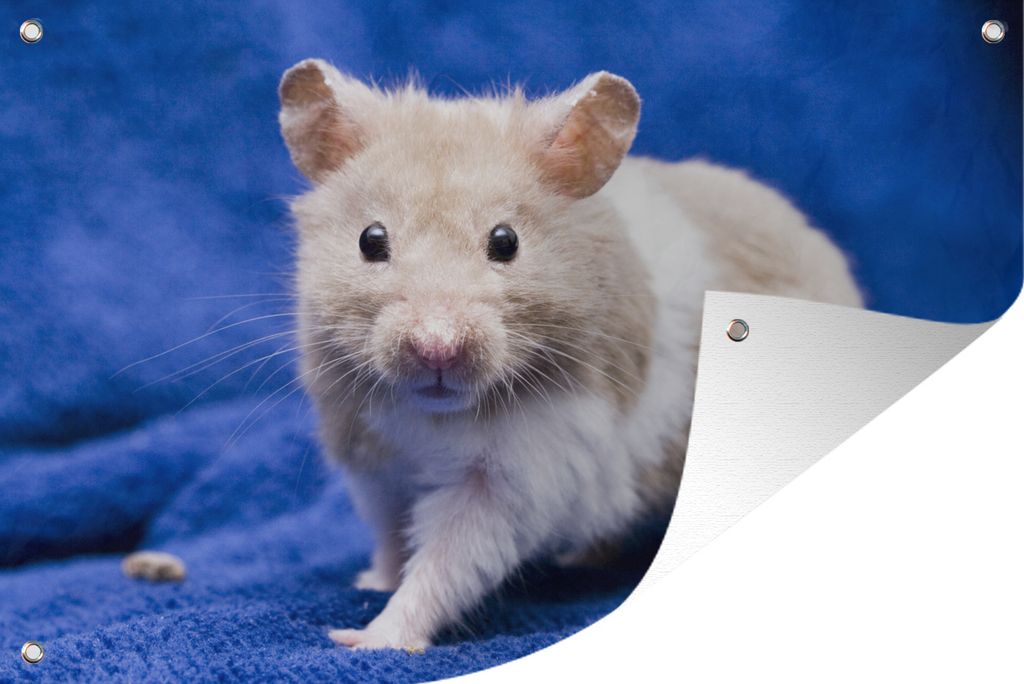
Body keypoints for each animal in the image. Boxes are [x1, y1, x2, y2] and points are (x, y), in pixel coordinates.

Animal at [277, 59, 862, 650]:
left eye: (506, 241)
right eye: (370, 240)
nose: (436, 348)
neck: (434, 415)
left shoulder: (515, 478)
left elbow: (445, 564)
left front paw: (362, 638)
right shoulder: (372, 460)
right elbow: (392, 537)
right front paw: (371, 583)